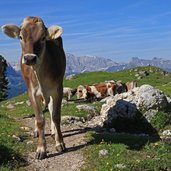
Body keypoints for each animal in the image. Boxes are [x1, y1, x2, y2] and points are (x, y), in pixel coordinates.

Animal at [2, 16, 66, 160]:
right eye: (20, 37)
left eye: (43, 38)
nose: (30, 58)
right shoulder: (32, 92)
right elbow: (39, 120)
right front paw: (41, 149)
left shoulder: (57, 90)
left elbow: (56, 116)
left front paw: (60, 142)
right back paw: (38, 132)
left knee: (50, 109)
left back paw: (53, 132)